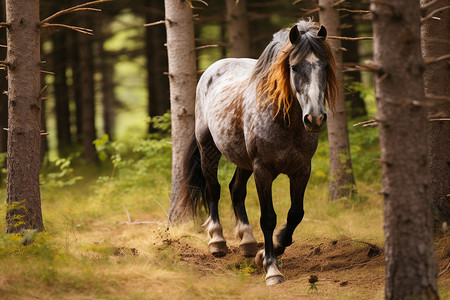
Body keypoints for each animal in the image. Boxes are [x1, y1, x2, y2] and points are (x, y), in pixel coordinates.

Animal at [171, 19, 338, 286]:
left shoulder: (302, 170)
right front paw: (272, 269)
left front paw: (267, 251)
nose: (314, 118)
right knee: (214, 189)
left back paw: (248, 242)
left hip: (243, 161)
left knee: (236, 189)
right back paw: (217, 241)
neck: (285, 121)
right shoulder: (263, 171)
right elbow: (268, 218)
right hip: (209, 149)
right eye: (294, 67)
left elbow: (295, 214)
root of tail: (212, 69)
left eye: (324, 66)